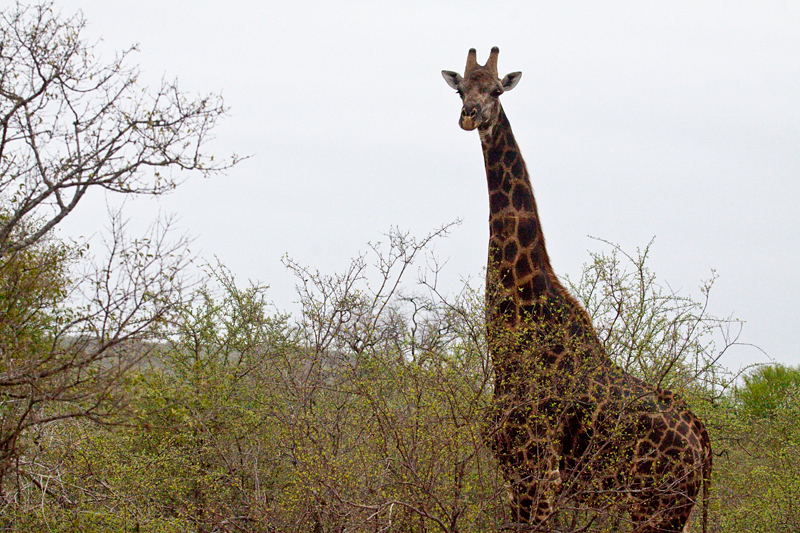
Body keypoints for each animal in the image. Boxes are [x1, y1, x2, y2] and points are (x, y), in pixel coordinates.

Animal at [444, 47, 712, 528]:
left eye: (496, 91)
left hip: (660, 506)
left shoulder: (537, 474)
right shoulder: (517, 476)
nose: (470, 116)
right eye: (461, 90)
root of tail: (701, 439)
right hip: (666, 507)